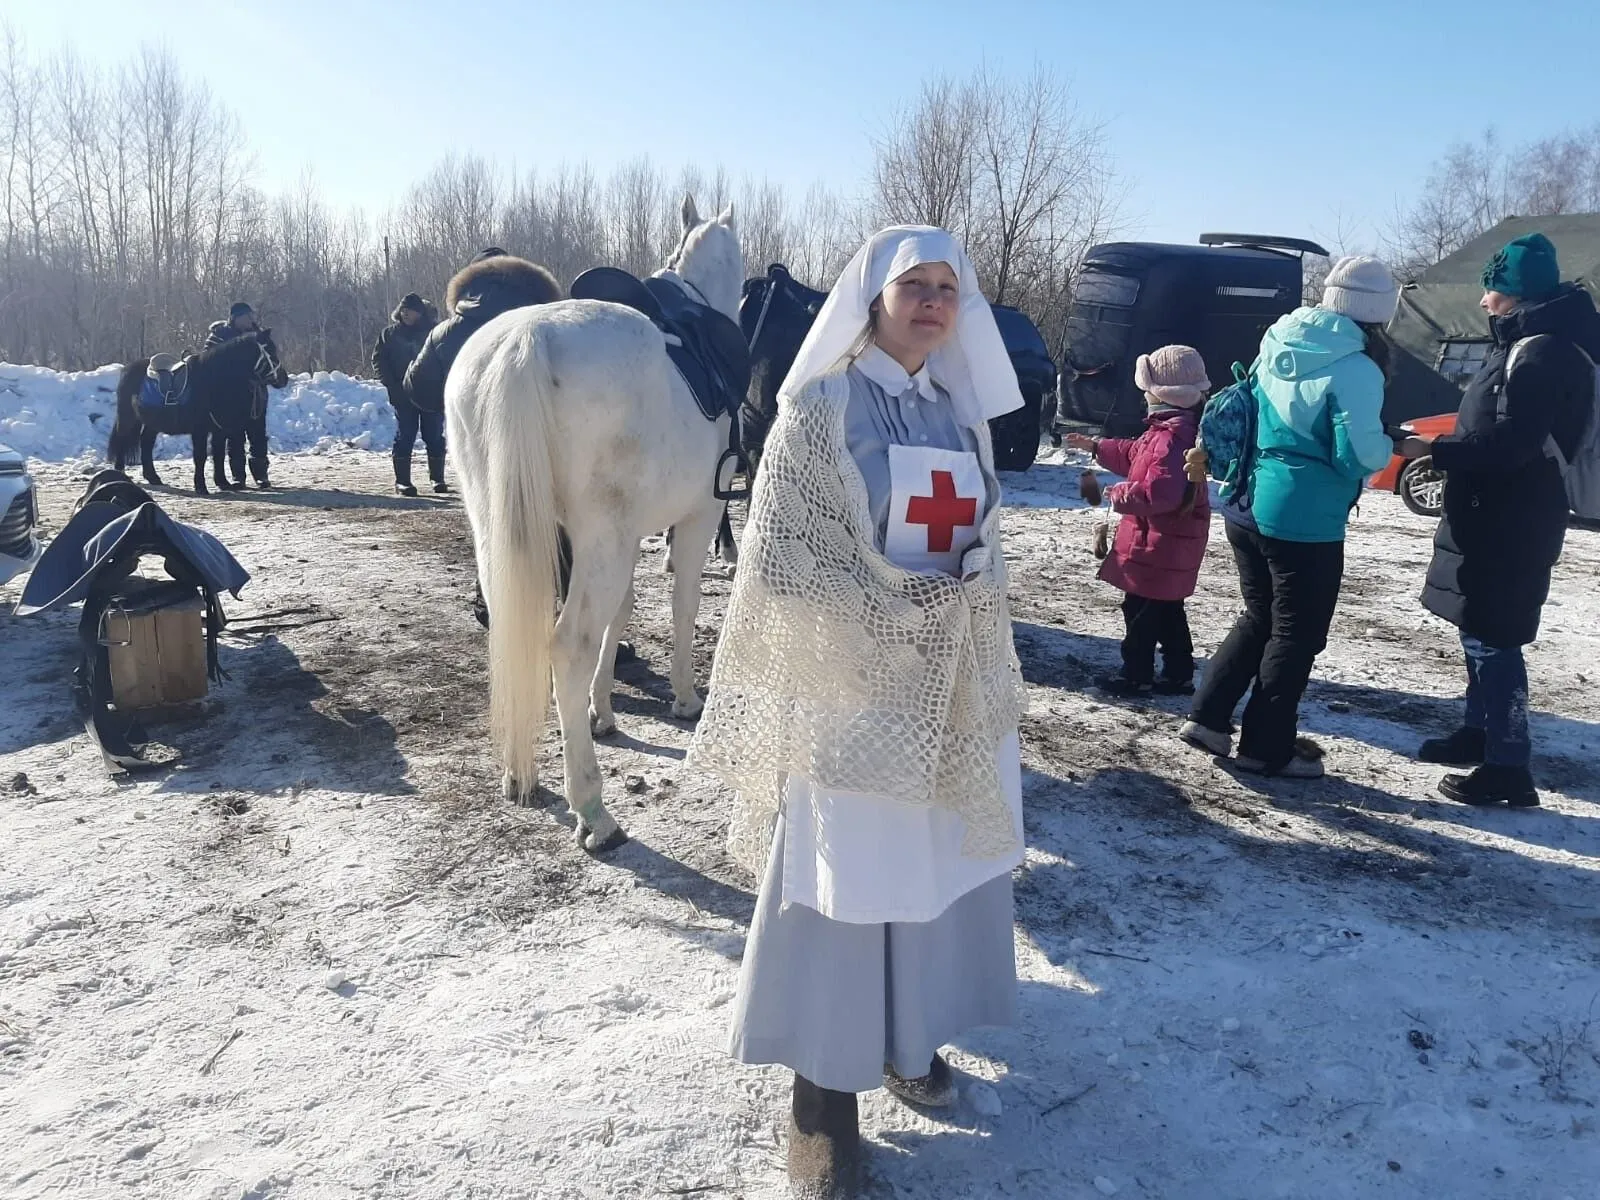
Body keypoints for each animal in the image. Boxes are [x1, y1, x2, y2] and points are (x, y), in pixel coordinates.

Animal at [109, 331, 288, 496]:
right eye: (269, 351)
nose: (283, 378)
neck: (212, 381)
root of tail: (127, 369)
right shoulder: (200, 430)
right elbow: (200, 457)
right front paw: (201, 487)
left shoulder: (219, 430)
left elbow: (218, 455)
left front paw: (223, 483)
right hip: (128, 418)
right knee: (122, 441)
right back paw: (120, 474)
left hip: (152, 423)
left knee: (146, 443)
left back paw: (153, 477)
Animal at [444, 197, 742, 851]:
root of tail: (523, 341)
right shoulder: (696, 517)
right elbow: (683, 603)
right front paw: (685, 697)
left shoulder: (621, 538)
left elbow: (622, 611)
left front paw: (600, 711)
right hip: (602, 539)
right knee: (567, 644)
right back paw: (593, 810)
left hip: (504, 533)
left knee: (513, 625)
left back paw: (520, 772)